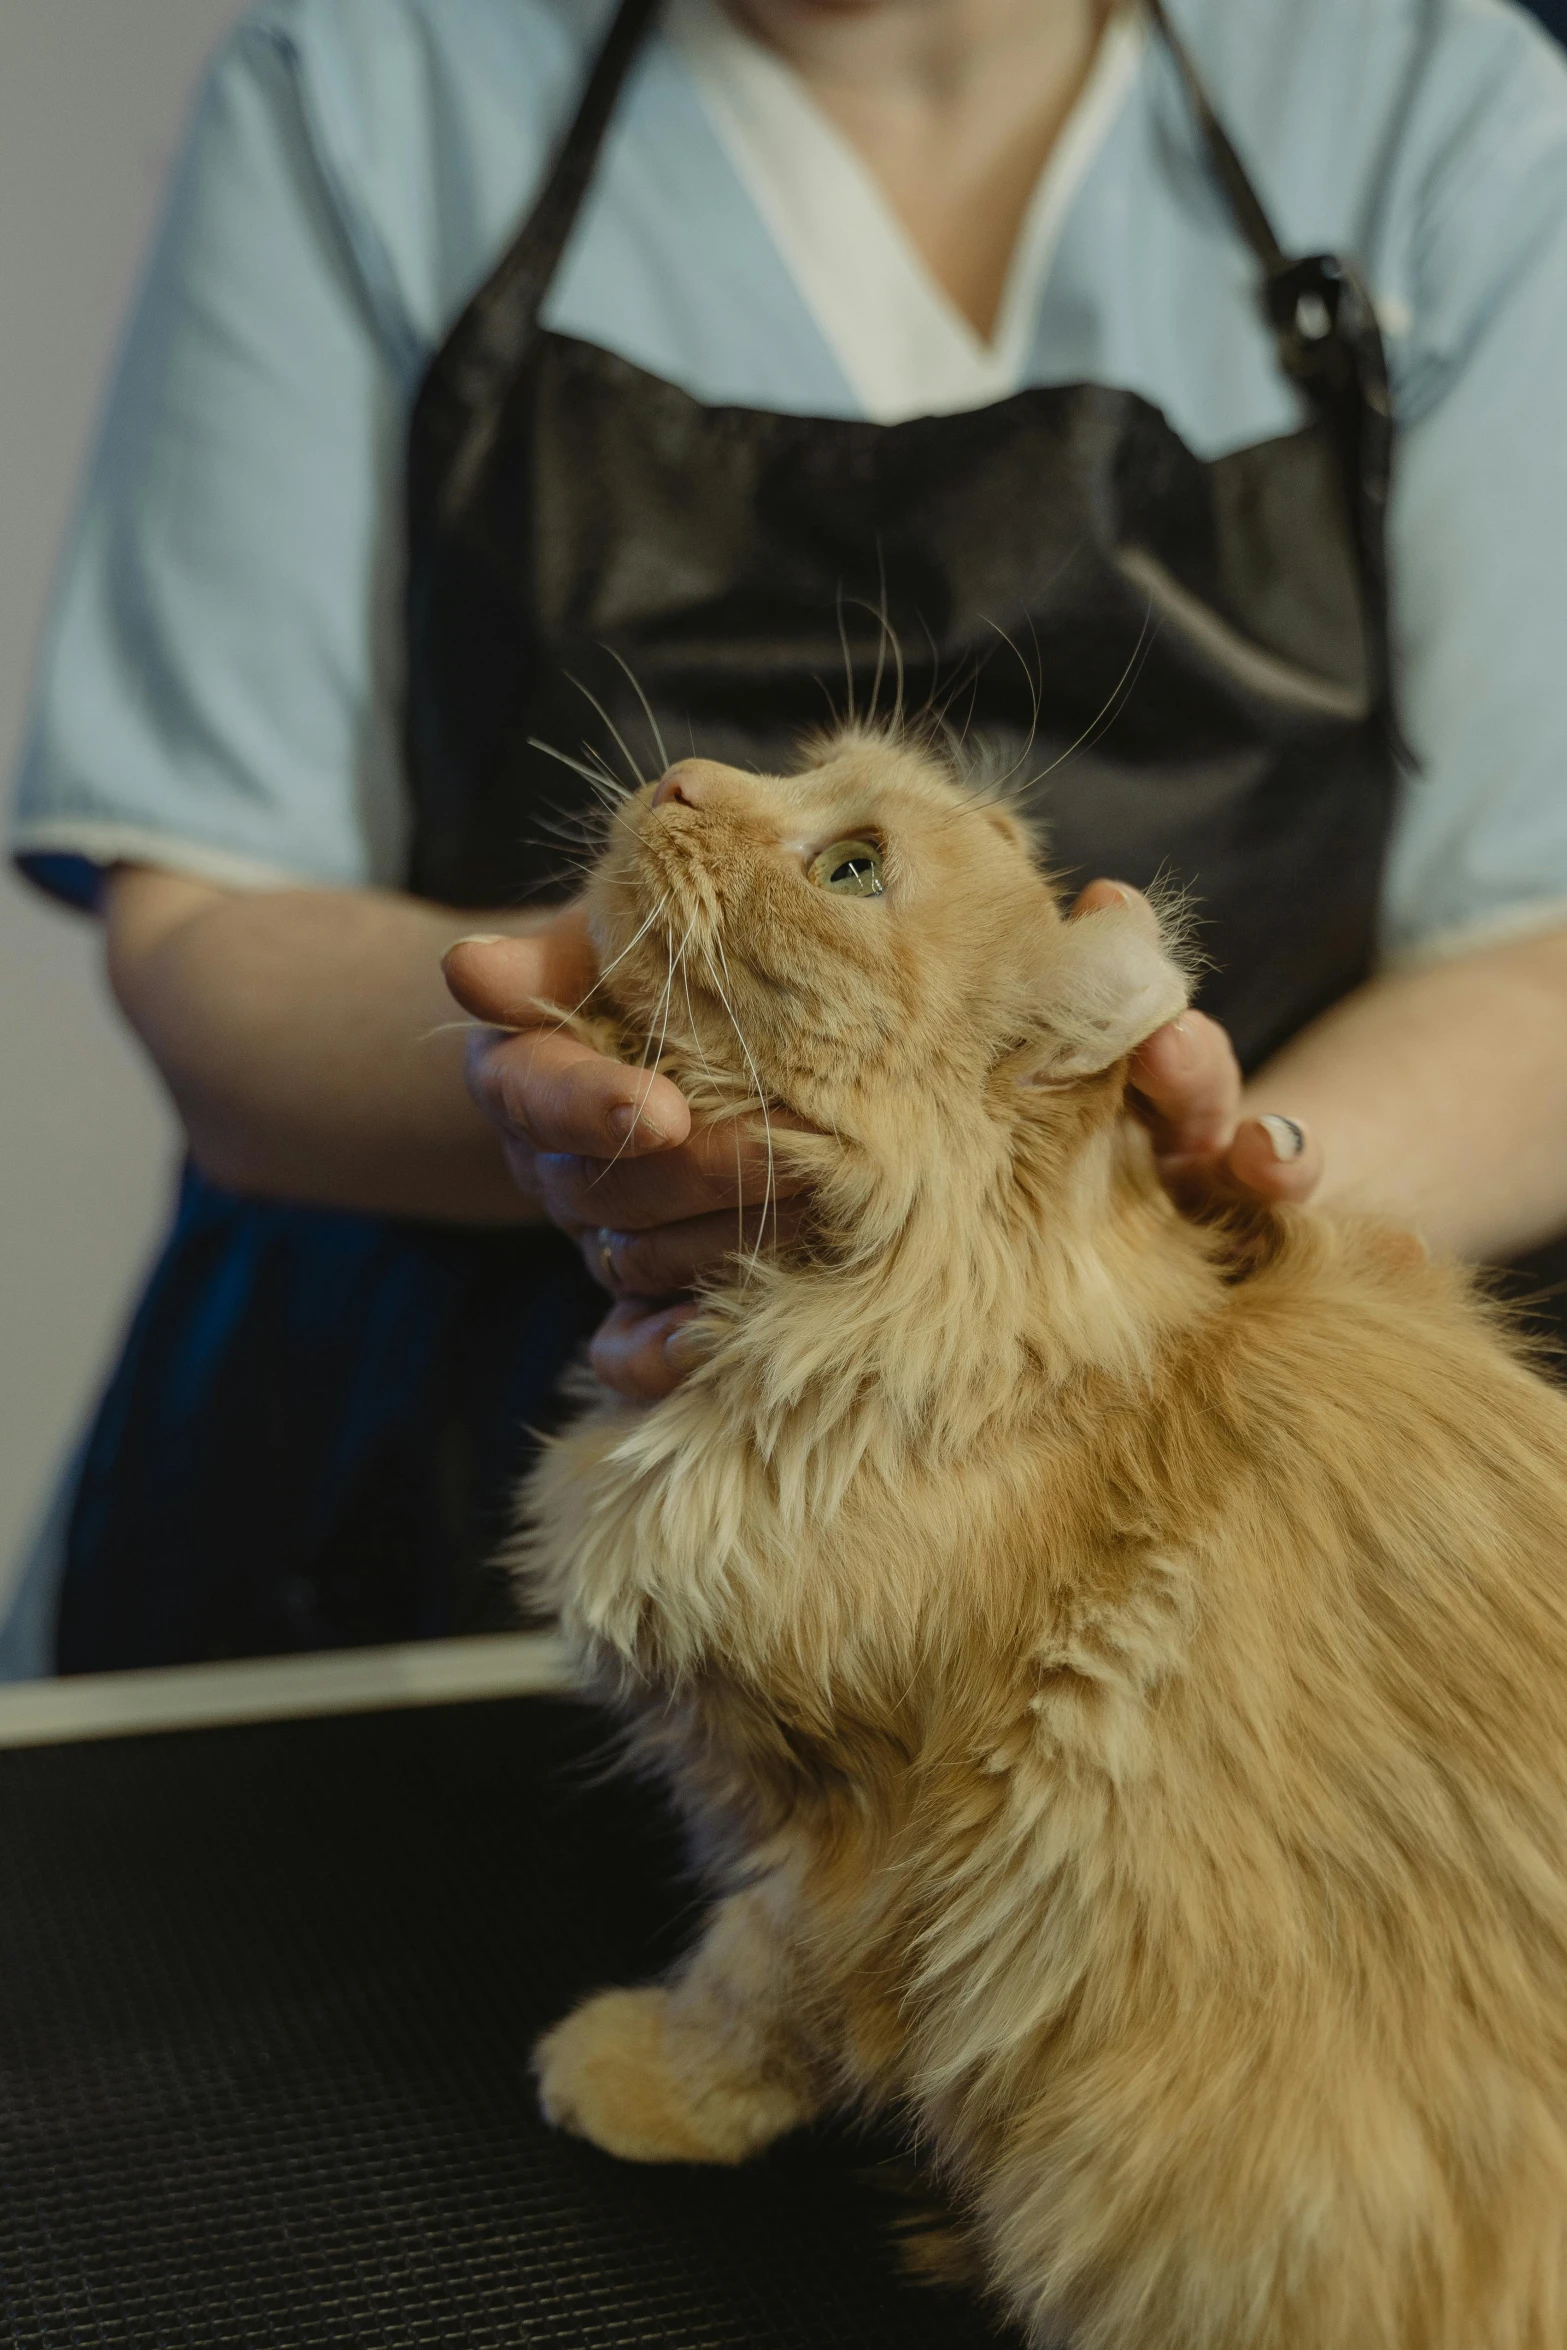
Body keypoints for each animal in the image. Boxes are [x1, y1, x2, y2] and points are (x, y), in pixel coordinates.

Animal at [521, 733, 1567, 2350]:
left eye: (851, 866)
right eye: (797, 766)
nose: (686, 773)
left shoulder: (863, 1825)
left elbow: (746, 1991)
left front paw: (636, 2081)